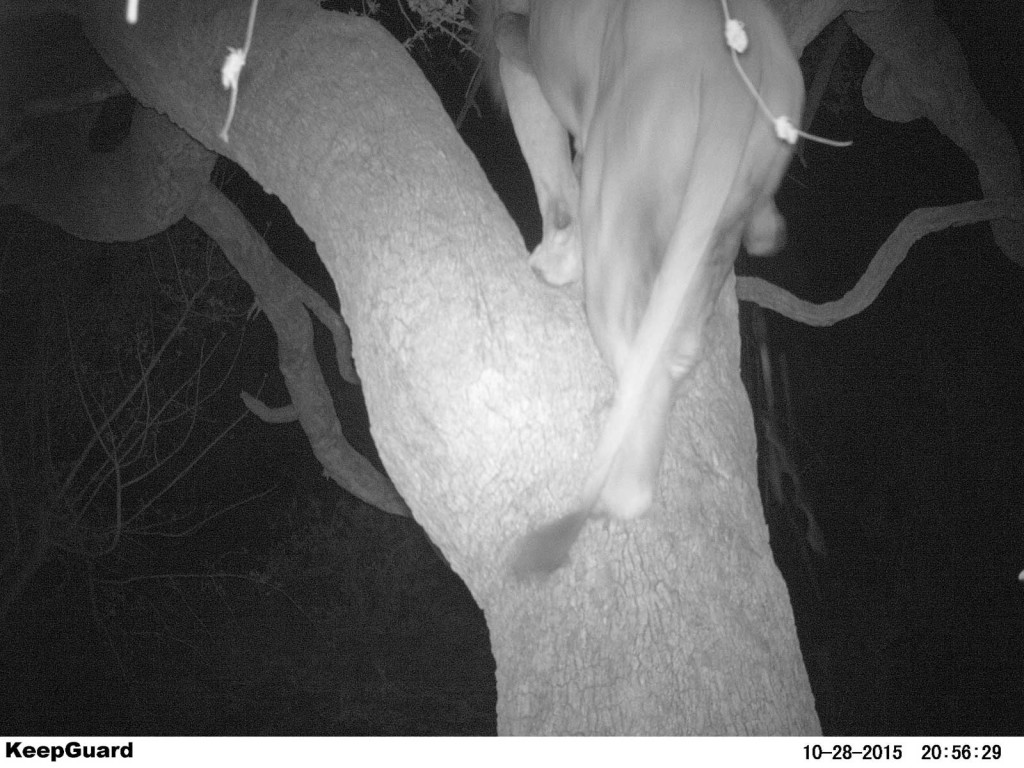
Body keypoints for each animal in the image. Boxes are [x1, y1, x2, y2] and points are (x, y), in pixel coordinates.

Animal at [475, 0, 802, 577]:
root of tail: (742, 70)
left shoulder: (518, 41)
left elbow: (551, 170)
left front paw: (555, 260)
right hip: (724, 215)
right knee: (682, 341)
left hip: (619, 186)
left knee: (642, 363)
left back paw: (604, 501)